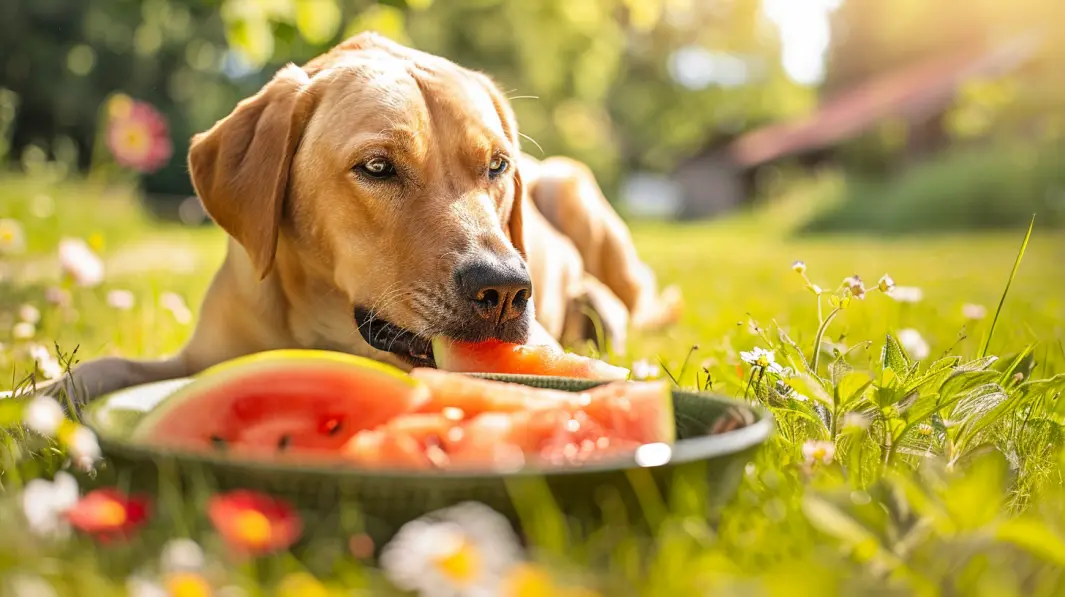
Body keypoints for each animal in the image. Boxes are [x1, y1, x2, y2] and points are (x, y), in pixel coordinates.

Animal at [20, 32, 681, 404]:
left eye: (497, 166)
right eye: (378, 167)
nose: (505, 290)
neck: (322, 323)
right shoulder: (198, 359)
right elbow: (101, 367)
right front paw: (33, 401)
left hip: (572, 184)